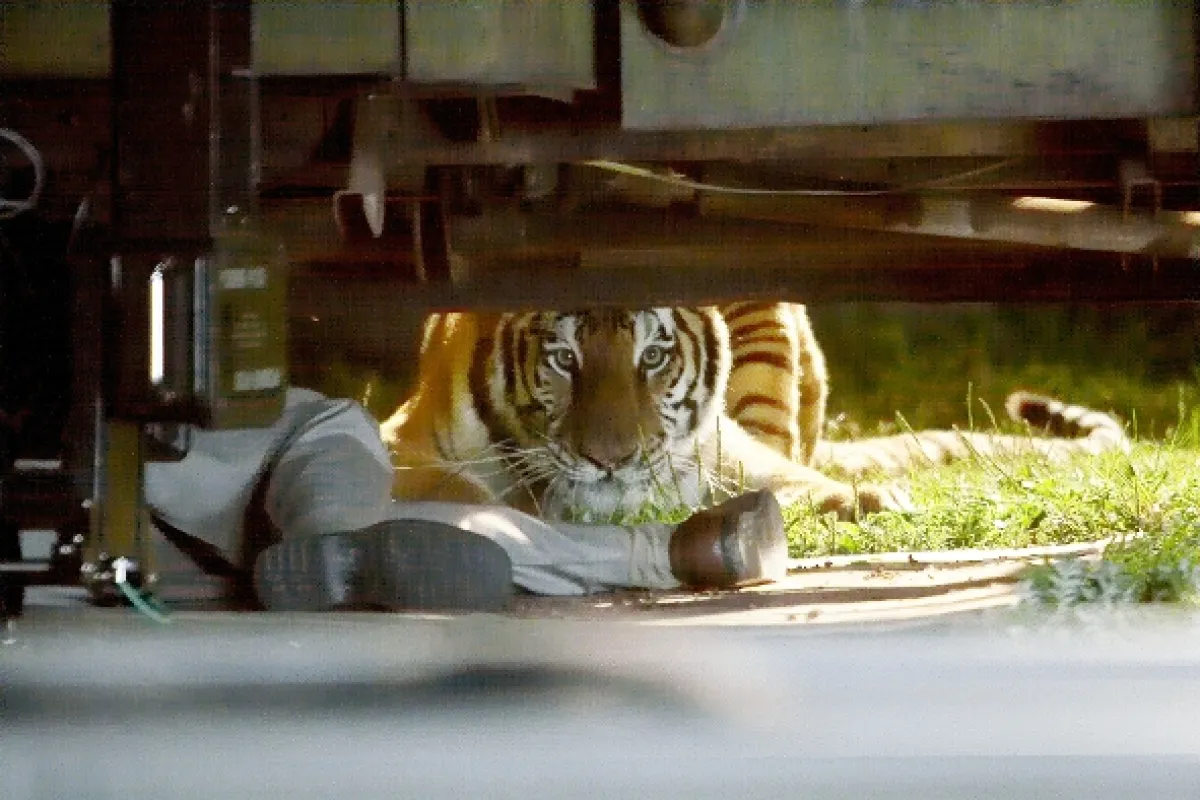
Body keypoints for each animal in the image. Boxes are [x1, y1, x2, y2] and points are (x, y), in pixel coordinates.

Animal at [381, 303, 1128, 521]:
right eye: (564, 359)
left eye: (652, 356)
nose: (612, 460)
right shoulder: (400, 441)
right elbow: (451, 488)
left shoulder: (724, 453)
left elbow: (794, 483)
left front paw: (871, 502)